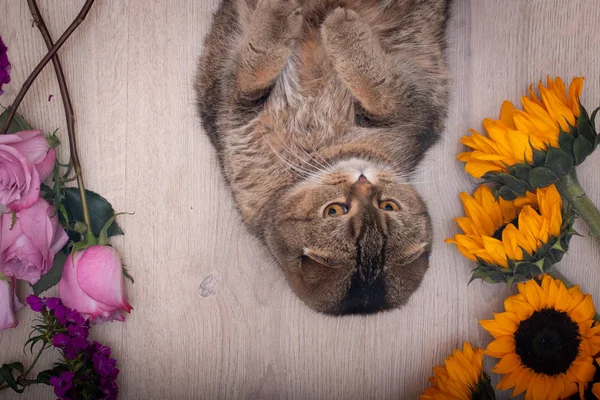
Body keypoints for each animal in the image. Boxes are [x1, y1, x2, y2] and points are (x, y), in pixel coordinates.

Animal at [197, 0, 450, 316]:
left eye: (389, 206)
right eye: (334, 211)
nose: (364, 180)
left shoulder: (413, 108)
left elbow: (378, 87)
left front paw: (338, 29)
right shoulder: (231, 106)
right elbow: (254, 66)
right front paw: (282, 15)